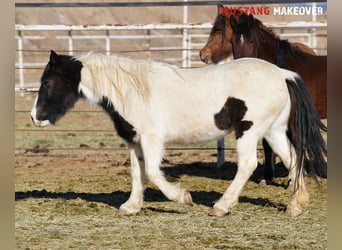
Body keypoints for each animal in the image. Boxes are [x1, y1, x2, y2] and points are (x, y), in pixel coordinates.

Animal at [31, 50, 326, 217]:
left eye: (47, 81)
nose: (34, 117)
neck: (131, 91)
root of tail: (283, 74)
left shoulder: (151, 139)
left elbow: (152, 172)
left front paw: (183, 198)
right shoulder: (134, 141)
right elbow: (137, 172)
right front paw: (131, 207)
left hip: (249, 131)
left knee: (248, 165)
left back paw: (221, 206)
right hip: (273, 131)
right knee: (293, 159)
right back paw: (296, 205)